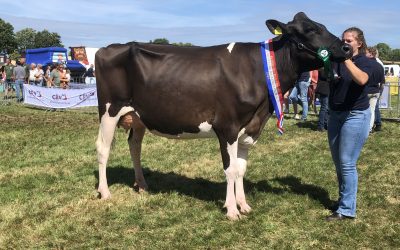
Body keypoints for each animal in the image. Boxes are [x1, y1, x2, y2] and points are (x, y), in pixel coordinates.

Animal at [94, 12, 350, 220]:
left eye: (321, 25)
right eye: (310, 29)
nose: (347, 48)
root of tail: (109, 47)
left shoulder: (250, 127)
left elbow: (242, 168)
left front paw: (243, 205)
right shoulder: (228, 127)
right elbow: (231, 169)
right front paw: (231, 210)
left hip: (138, 116)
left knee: (134, 145)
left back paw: (142, 185)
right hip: (109, 110)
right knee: (103, 148)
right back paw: (105, 192)